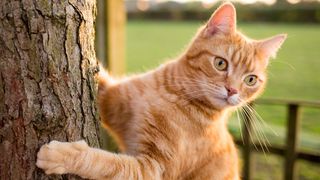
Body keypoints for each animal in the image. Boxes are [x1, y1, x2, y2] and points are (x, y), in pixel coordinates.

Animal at [36, 2, 286, 179]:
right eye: (220, 63)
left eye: (251, 80)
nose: (232, 90)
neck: (170, 94)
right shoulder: (115, 101)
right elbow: (101, 78)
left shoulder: (152, 169)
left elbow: (108, 164)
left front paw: (64, 155)